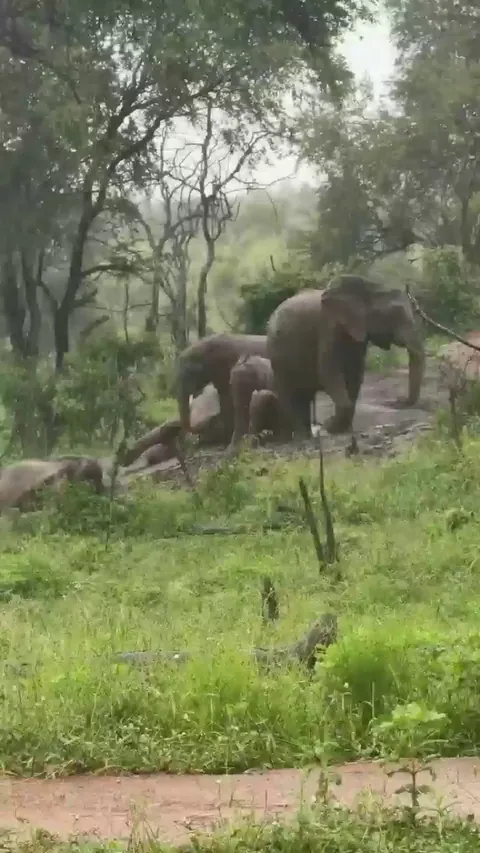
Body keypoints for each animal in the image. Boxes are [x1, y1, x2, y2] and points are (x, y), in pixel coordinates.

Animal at [266, 274, 425, 436]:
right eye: (394, 314)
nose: (398, 400)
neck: (369, 286)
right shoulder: (328, 328)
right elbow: (329, 374)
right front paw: (330, 426)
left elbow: (354, 376)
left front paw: (342, 430)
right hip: (277, 356)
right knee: (291, 396)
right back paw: (302, 437)